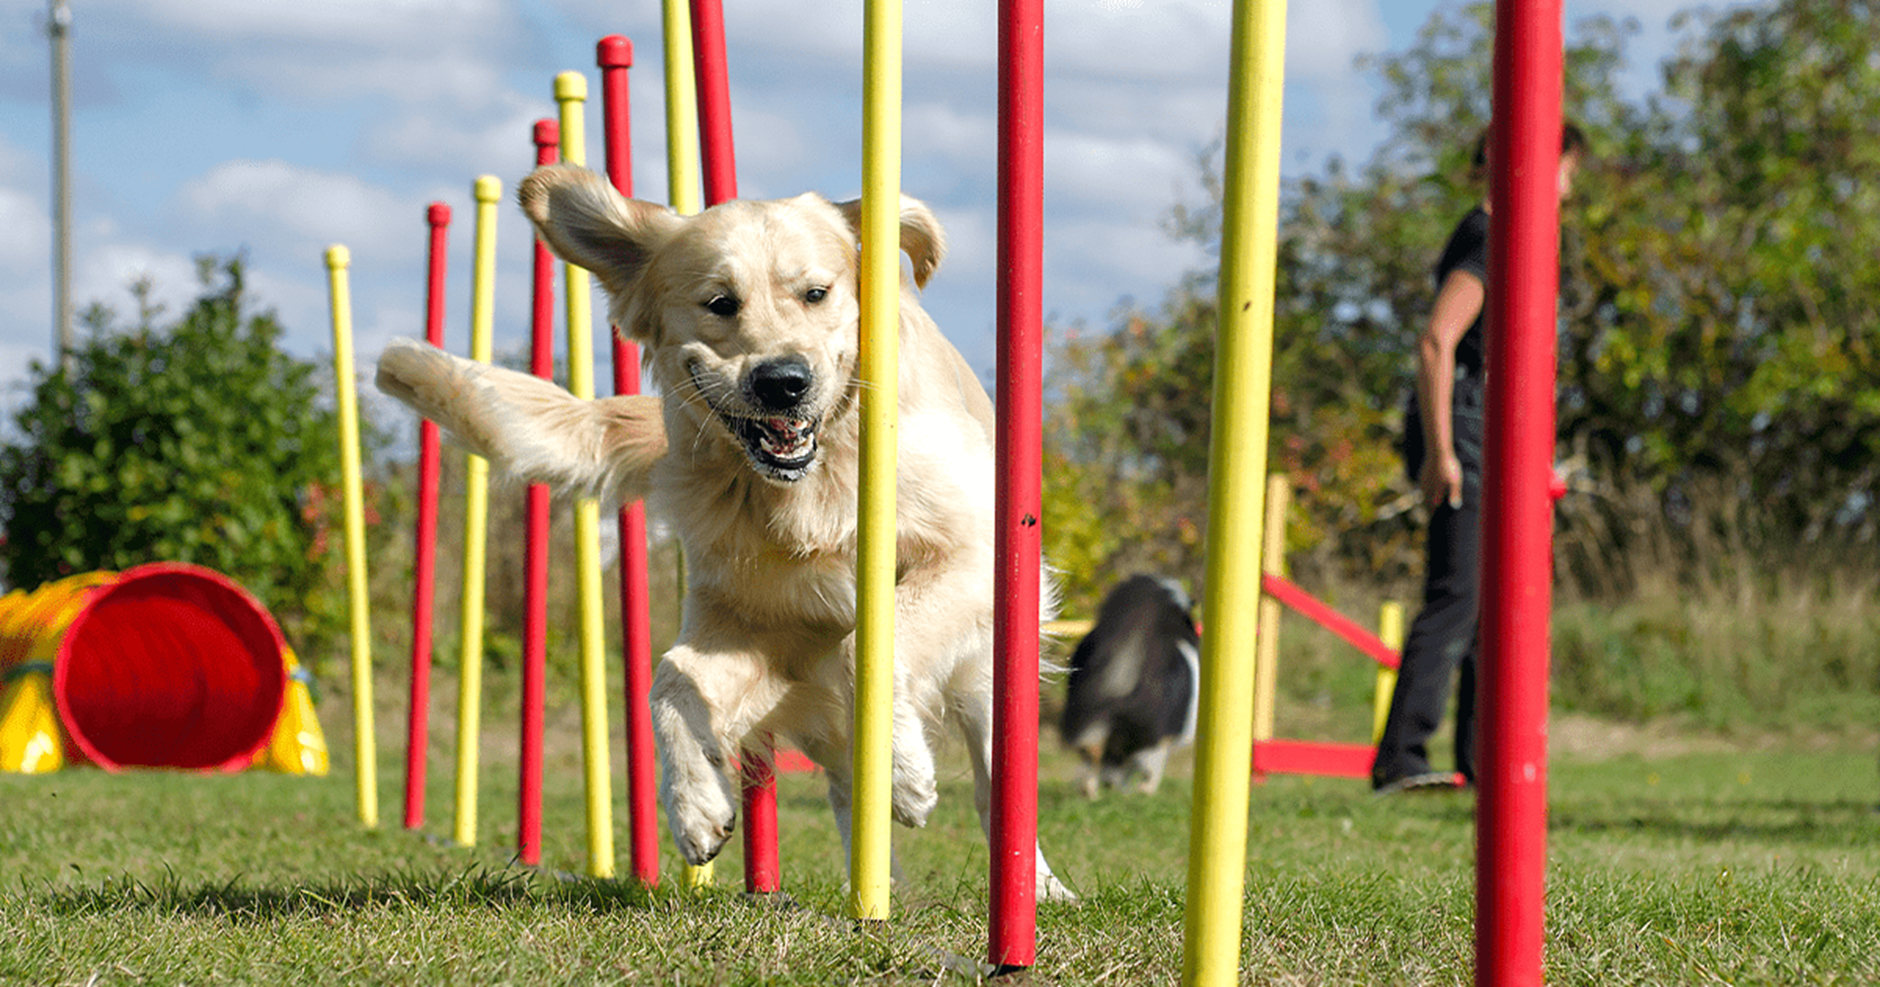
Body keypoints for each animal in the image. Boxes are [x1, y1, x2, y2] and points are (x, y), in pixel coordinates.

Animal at [374, 163, 1075, 898]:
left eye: (816, 293)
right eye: (719, 303)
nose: (783, 382)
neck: (810, 487)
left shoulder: (972, 558)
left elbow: (868, 644)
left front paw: (905, 773)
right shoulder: (756, 622)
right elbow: (670, 679)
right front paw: (696, 806)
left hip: (988, 667)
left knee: (995, 775)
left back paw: (1036, 886)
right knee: (839, 777)